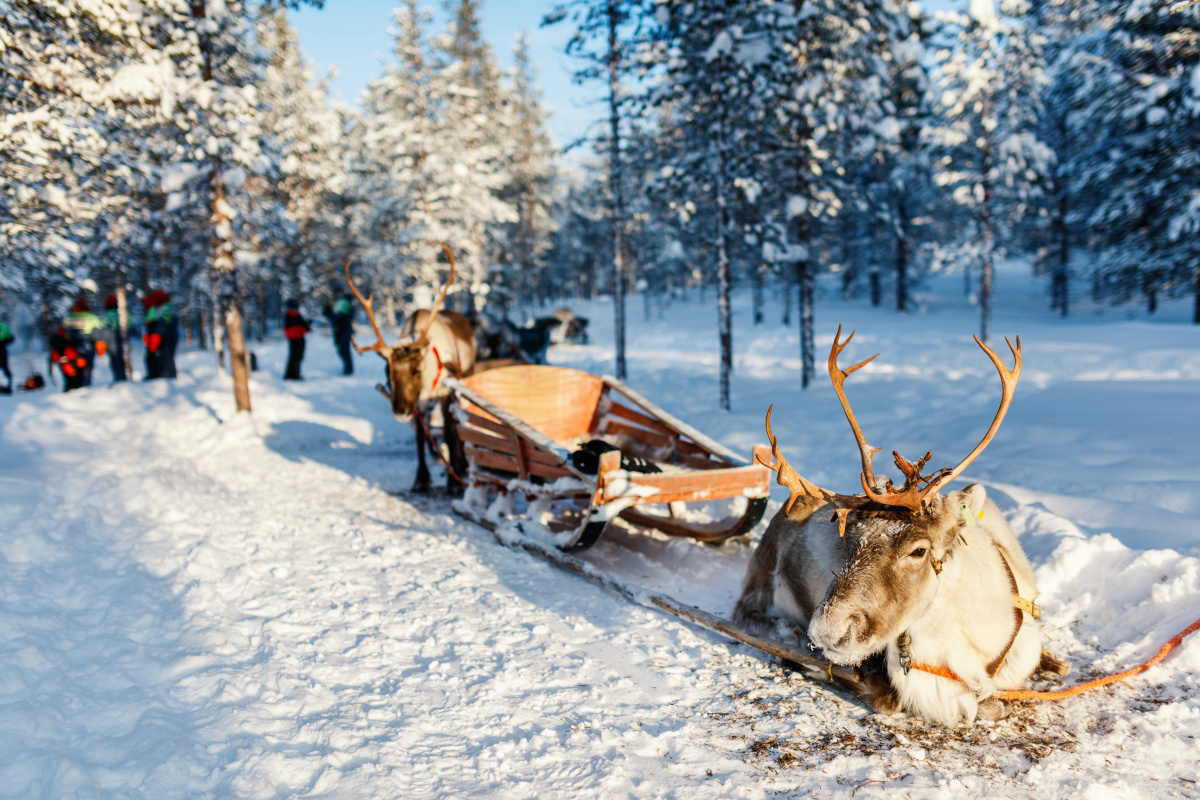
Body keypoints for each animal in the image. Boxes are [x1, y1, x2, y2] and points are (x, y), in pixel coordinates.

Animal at [345, 244, 477, 494]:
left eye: (416, 371)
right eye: (387, 373)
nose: (400, 412)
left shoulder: (444, 393)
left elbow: (448, 431)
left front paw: (454, 482)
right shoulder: (417, 402)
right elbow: (420, 436)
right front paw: (421, 479)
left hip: (465, 376)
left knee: (456, 425)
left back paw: (461, 466)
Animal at [733, 327, 1068, 726]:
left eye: (919, 550)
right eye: (850, 539)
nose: (827, 631)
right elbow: (895, 699)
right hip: (761, 577)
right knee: (743, 612)